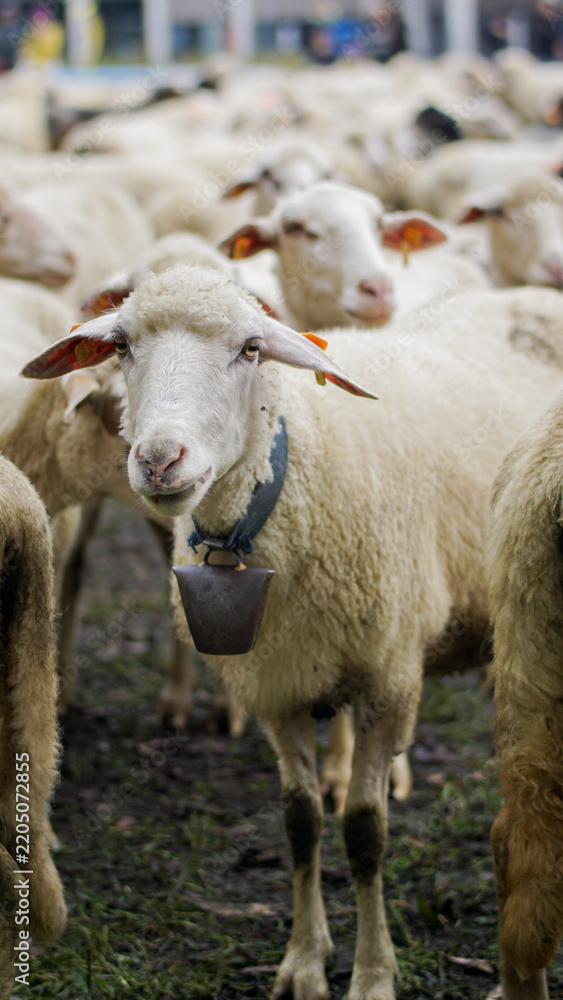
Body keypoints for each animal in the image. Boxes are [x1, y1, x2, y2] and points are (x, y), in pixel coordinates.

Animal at [23, 269, 563, 1000]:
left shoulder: (390, 682)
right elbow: (300, 823)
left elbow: (364, 833)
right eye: (123, 345)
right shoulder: (275, 688)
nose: (160, 461)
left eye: (251, 348)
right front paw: (304, 963)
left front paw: (371, 974)